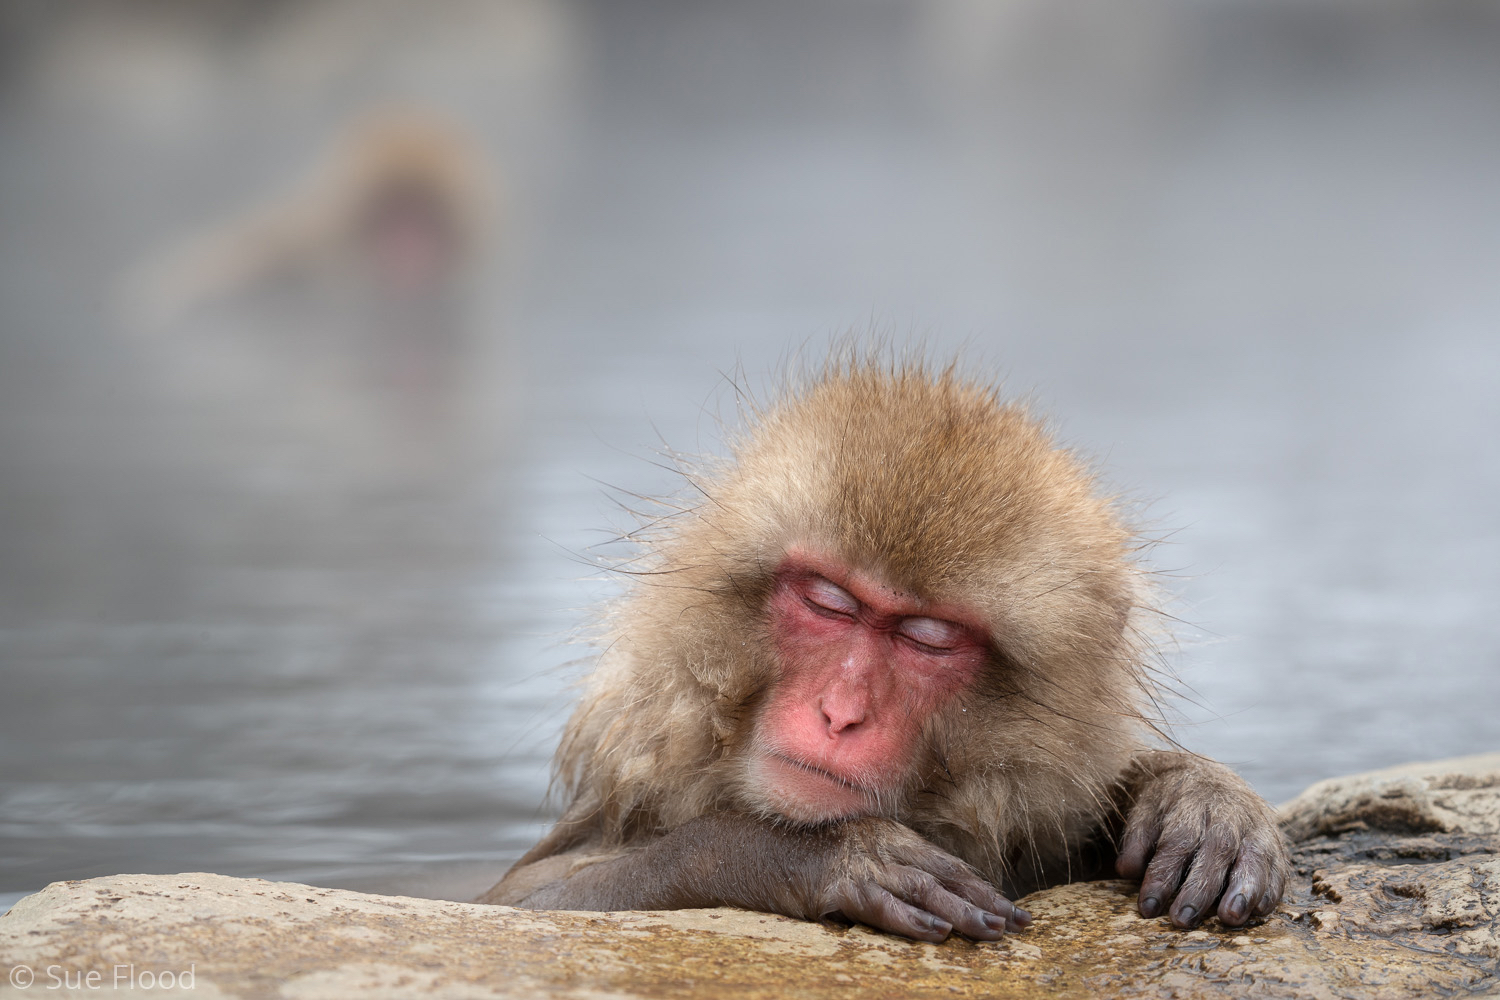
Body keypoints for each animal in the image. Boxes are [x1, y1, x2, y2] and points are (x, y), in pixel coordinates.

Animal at [483, 361, 1290, 947]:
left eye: (928, 638)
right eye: (827, 601)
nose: (840, 713)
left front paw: (1193, 795)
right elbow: (525, 902)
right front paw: (807, 855)